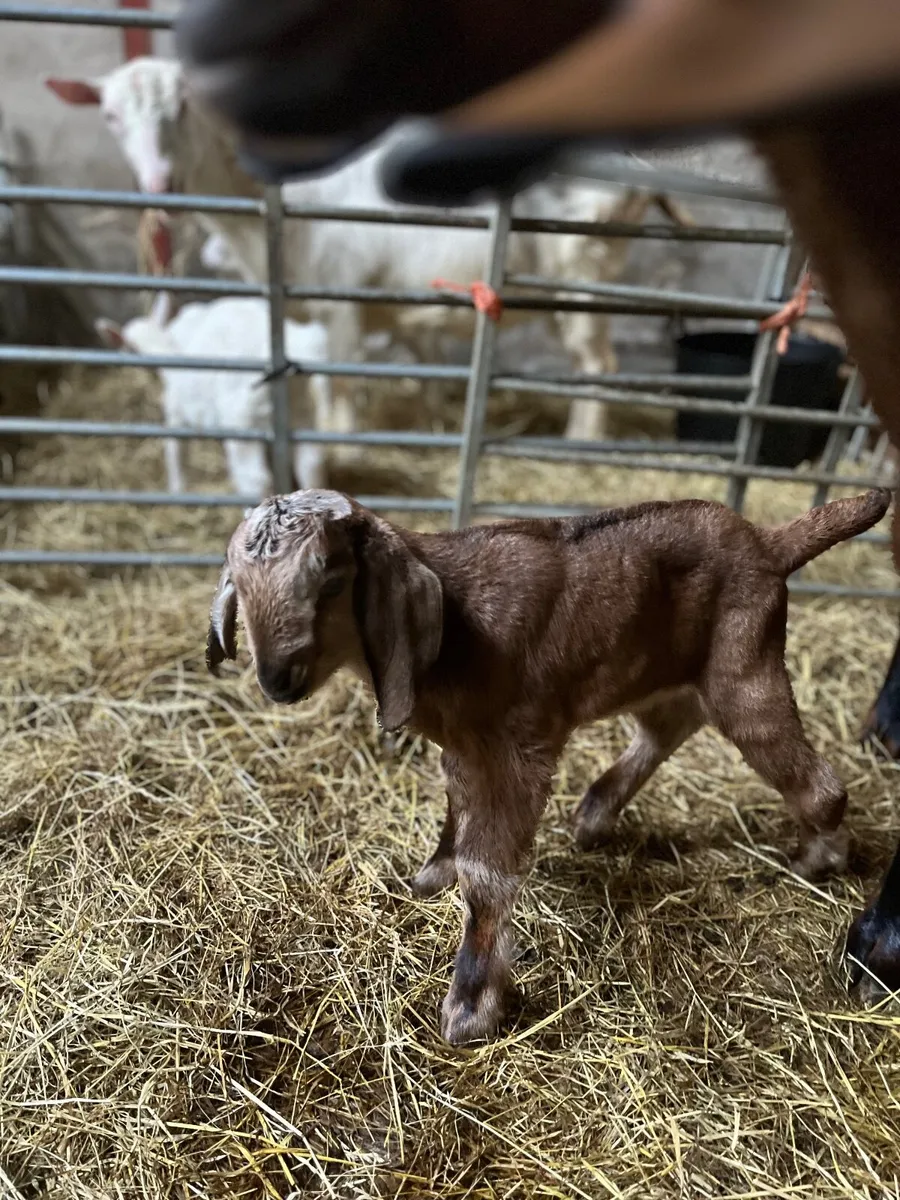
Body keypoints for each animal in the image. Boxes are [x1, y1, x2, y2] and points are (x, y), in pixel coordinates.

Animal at [97, 294, 331, 497]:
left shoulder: (177, 411)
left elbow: (175, 449)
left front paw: (177, 488)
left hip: (242, 420)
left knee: (254, 479)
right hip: (302, 411)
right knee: (310, 463)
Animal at [206, 485, 889, 1043]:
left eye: (329, 580)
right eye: (237, 579)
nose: (276, 679)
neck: (453, 625)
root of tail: (770, 543)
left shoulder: (516, 751)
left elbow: (488, 872)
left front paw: (472, 1007)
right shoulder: (466, 745)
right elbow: (456, 808)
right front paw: (433, 873)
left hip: (745, 665)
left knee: (804, 771)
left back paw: (819, 858)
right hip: (667, 667)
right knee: (669, 722)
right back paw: (595, 813)